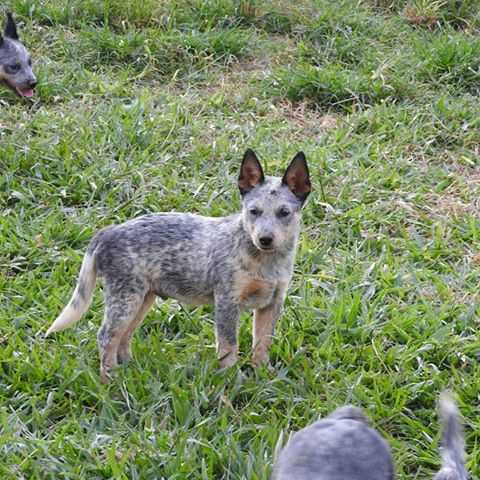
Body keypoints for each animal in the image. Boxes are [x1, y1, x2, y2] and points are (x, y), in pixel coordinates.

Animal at [46, 150, 312, 382]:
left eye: (284, 213)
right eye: (253, 211)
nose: (265, 239)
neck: (264, 261)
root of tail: (106, 232)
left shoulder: (272, 303)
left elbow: (262, 343)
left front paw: (264, 375)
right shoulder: (227, 301)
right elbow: (229, 347)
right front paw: (231, 381)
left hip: (142, 298)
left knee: (123, 337)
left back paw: (130, 369)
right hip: (126, 298)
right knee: (106, 337)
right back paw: (109, 379)